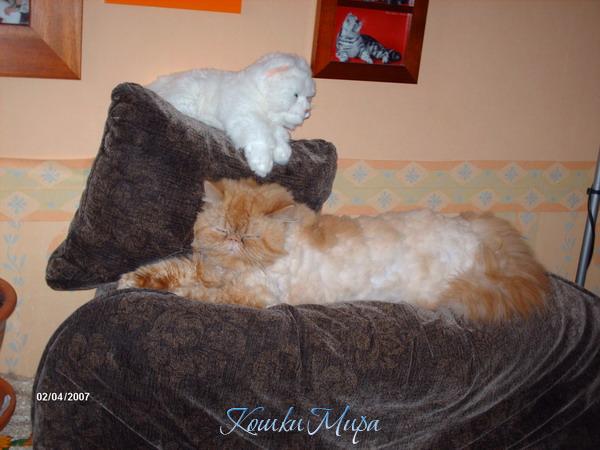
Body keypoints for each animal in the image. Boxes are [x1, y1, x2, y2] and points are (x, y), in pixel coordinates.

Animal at [118, 178, 550, 322]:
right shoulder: (204, 266)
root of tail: (473, 224)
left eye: (250, 237)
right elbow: (170, 269)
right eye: (224, 230)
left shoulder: (253, 295)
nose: (233, 241)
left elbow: (196, 292)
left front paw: (174, 292)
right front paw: (131, 280)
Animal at [147, 53, 316, 177]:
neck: (259, 93)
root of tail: (155, 86)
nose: (307, 112)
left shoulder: (272, 124)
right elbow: (260, 137)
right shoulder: (247, 117)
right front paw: (262, 163)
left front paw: (282, 152)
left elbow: (279, 136)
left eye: (308, 98)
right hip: (186, 96)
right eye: (296, 95)